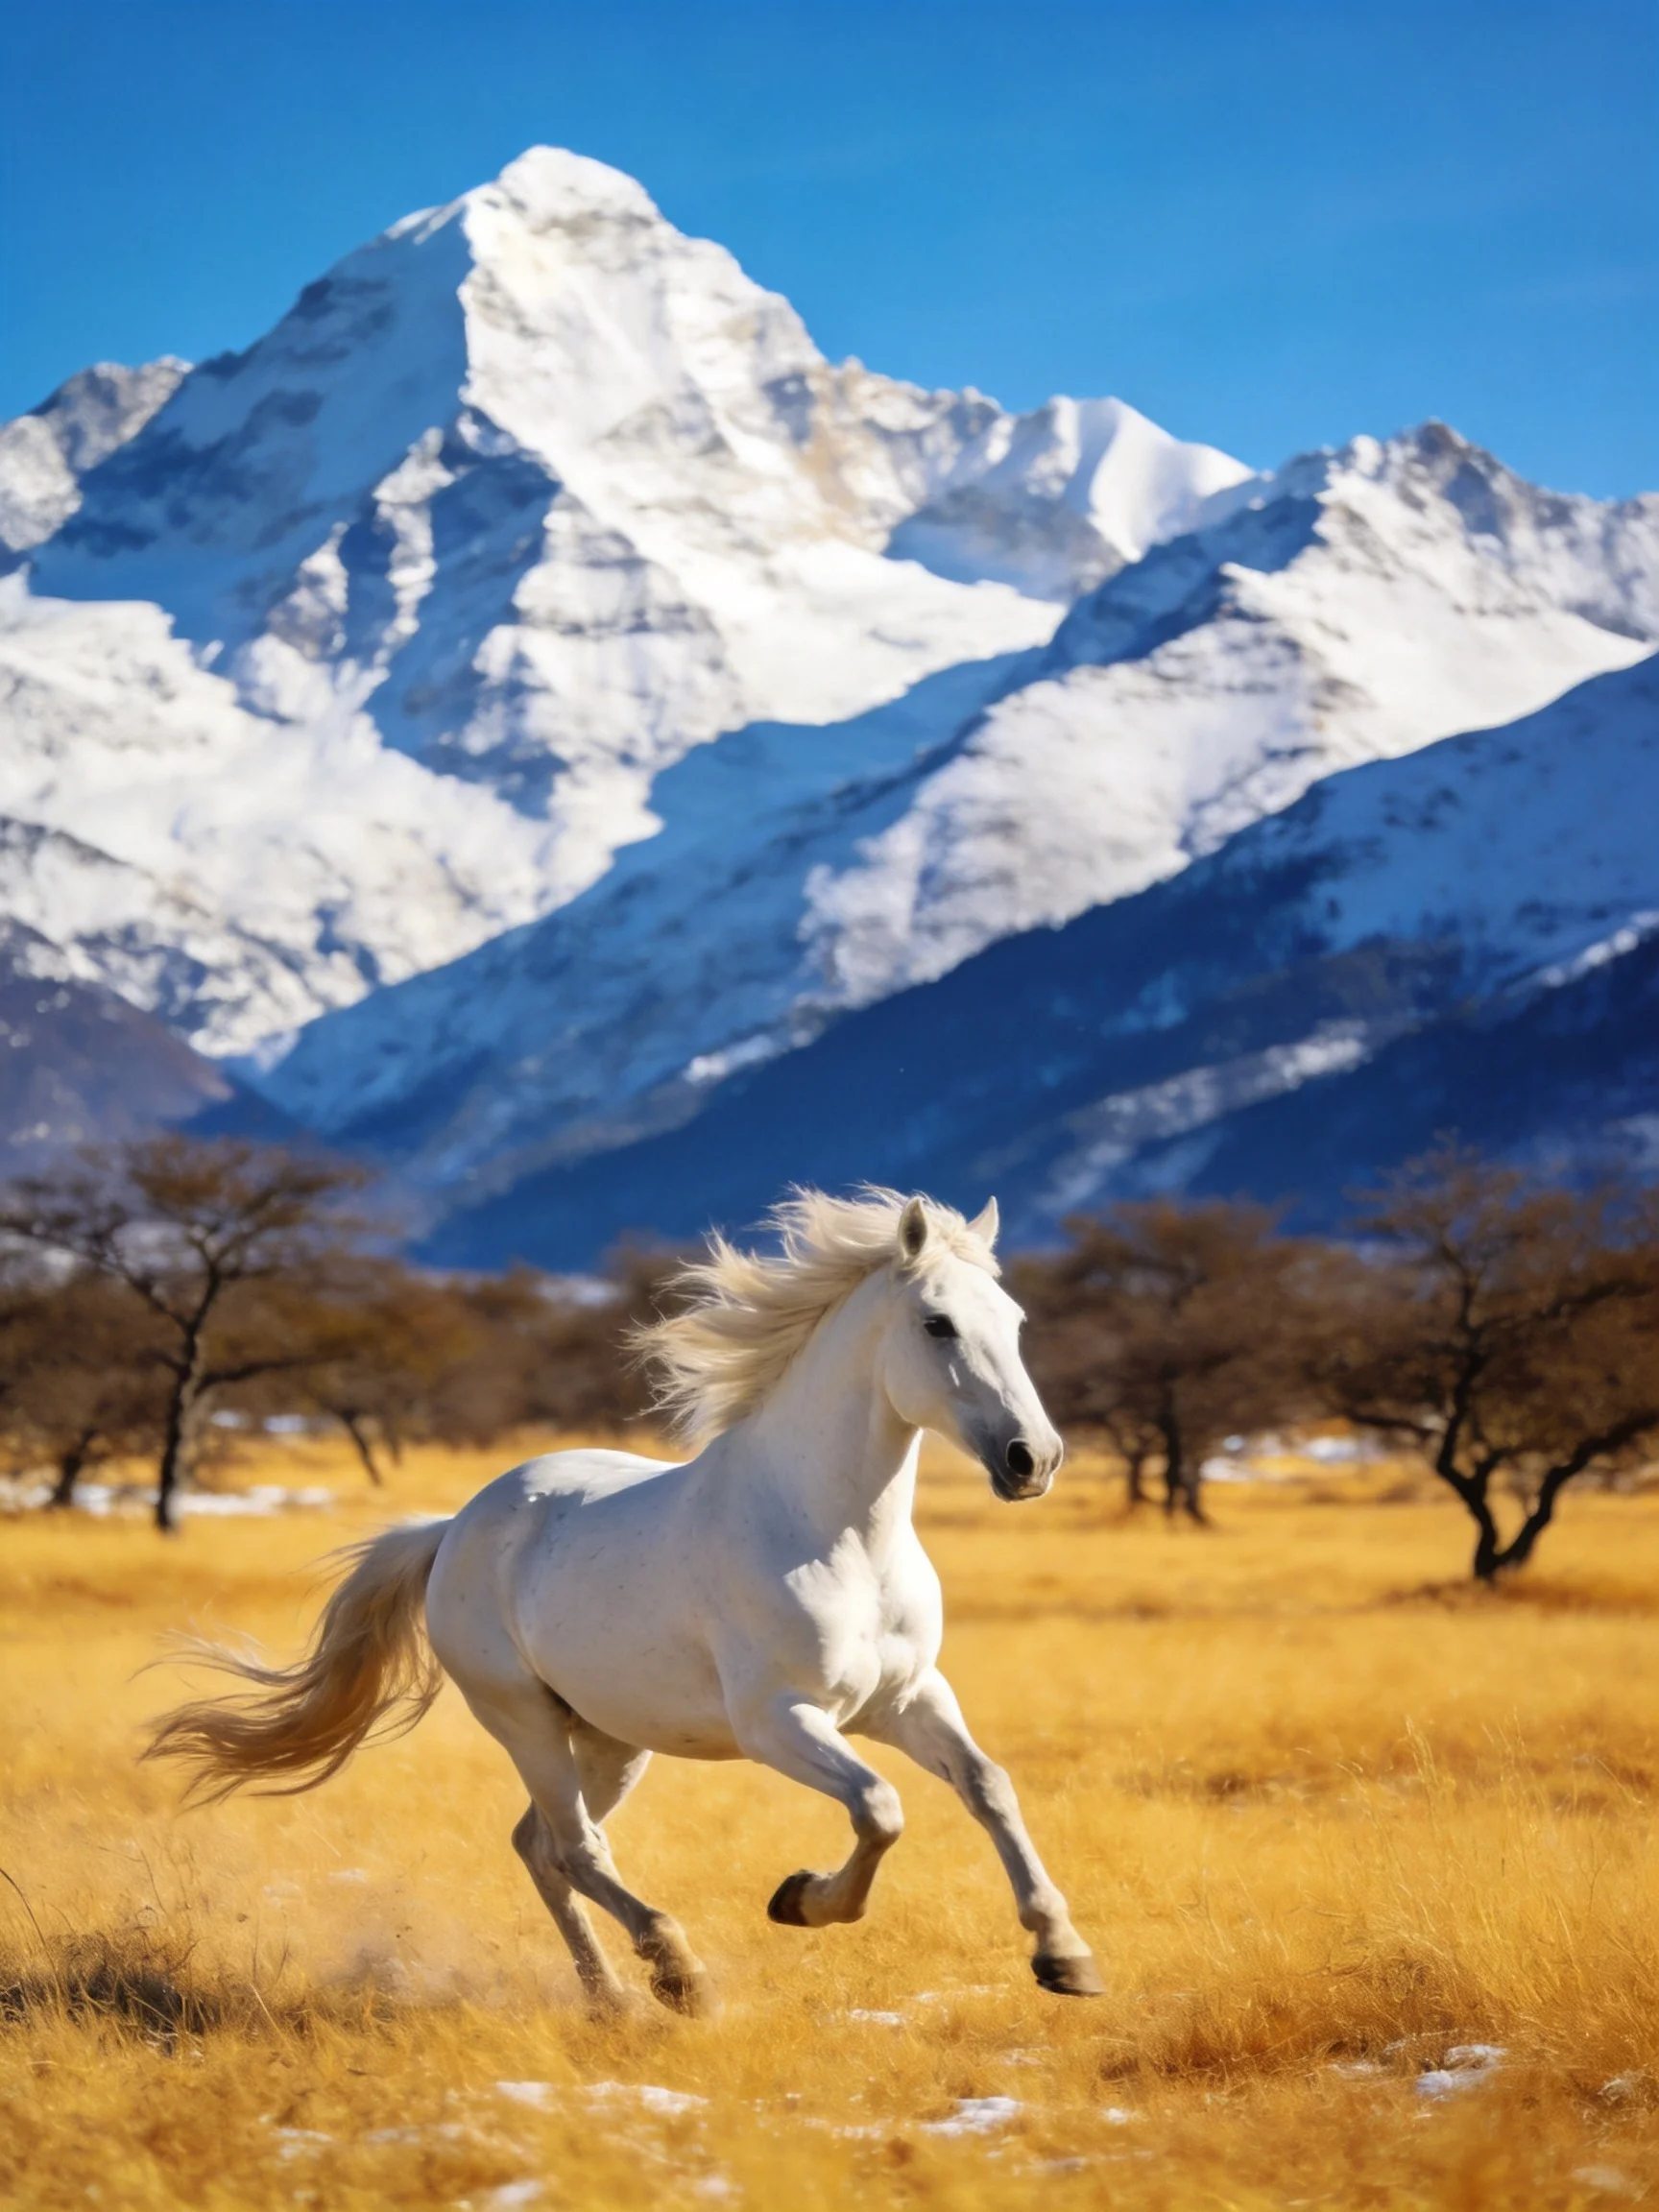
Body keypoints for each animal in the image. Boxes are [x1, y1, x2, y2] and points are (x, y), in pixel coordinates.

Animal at [147, 1188, 1102, 2014]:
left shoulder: (906, 1700)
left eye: (1015, 1322)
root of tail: (456, 1528)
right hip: (526, 1721)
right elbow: (880, 1808)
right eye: (936, 1323)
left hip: (610, 1738)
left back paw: (610, 1997)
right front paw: (800, 1900)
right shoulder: (779, 1721)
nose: (1033, 1459)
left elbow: (988, 1786)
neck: (833, 1535)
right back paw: (678, 1975)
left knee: (541, 1847)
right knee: (574, 1847)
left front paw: (1065, 1957)